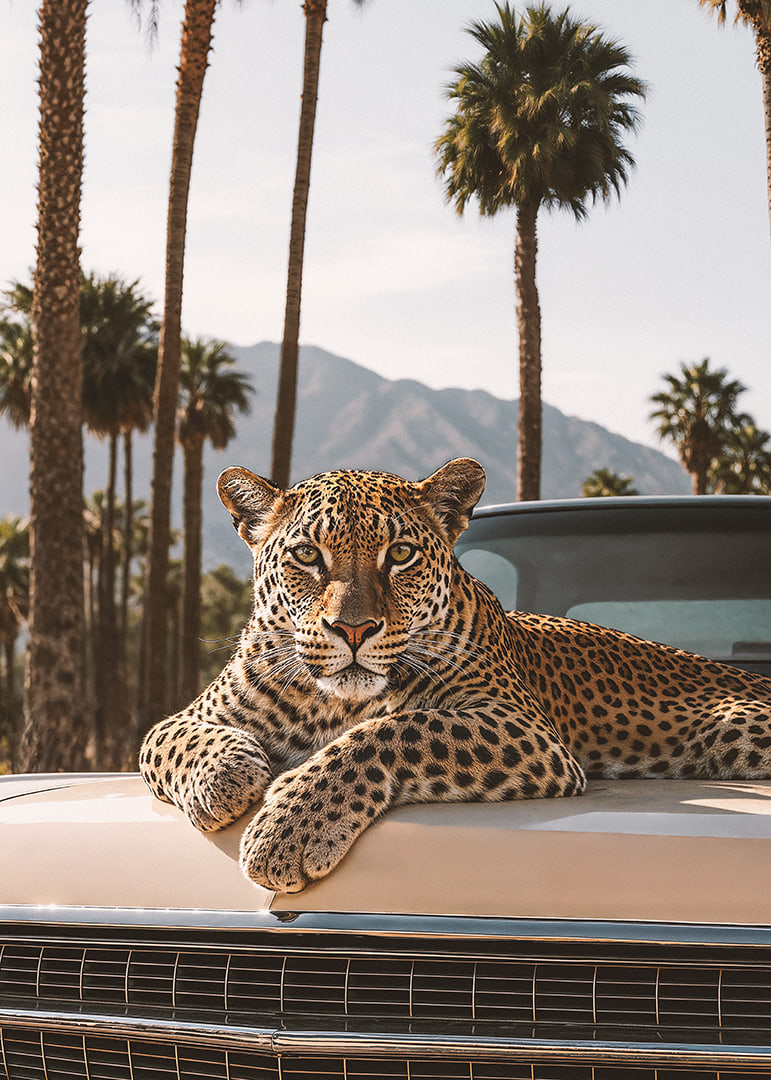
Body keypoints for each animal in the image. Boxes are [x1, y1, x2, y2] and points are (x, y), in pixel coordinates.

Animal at [139, 457, 771, 893]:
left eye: (399, 556)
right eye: (307, 557)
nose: (353, 629)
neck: (333, 704)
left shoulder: (521, 727)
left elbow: (396, 731)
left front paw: (289, 826)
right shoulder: (188, 716)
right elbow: (180, 741)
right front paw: (223, 779)